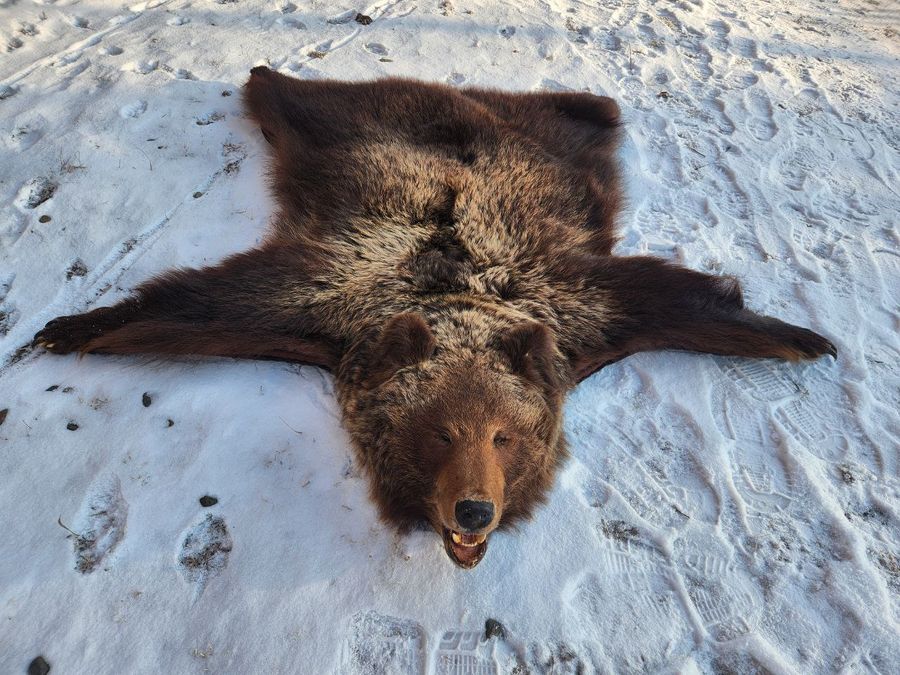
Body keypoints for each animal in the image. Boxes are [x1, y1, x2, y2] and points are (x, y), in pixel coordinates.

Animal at [33, 67, 835, 568]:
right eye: (439, 430)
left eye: (505, 434)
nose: (475, 510)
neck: (455, 290)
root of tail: (458, 93)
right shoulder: (331, 297)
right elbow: (207, 305)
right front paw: (73, 325)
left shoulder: (576, 305)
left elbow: (674, 300)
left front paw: (804, 336)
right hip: (341, 133)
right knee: (298, 104)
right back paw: (266, 77)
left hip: (534, 142)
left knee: (573, 113)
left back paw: (597, 103)